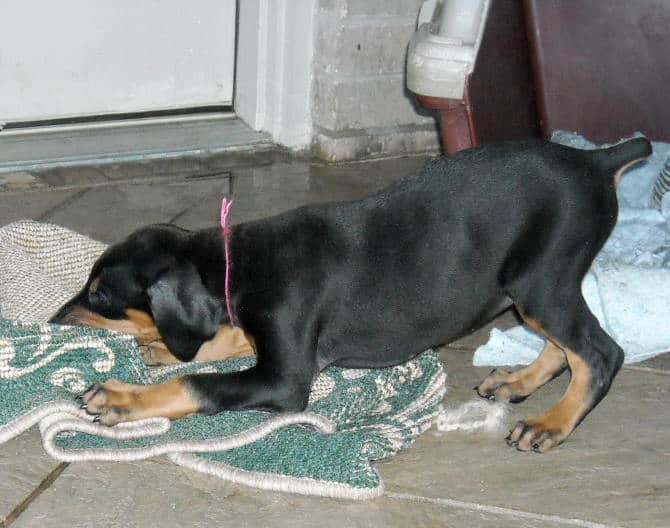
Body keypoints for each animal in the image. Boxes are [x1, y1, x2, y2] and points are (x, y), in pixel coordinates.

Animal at [51, 138, 652, 452]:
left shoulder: (285, 378)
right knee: (568, 343)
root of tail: (594, 159)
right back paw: (518, 381)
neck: (235, 263)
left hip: (539, 278)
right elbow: (225, 341)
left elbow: (197, 381)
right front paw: (163, 348)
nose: (55, 319)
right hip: (542, 284)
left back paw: (552, 422)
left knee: (601, 351)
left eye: (99, 293)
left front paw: (122, 398)